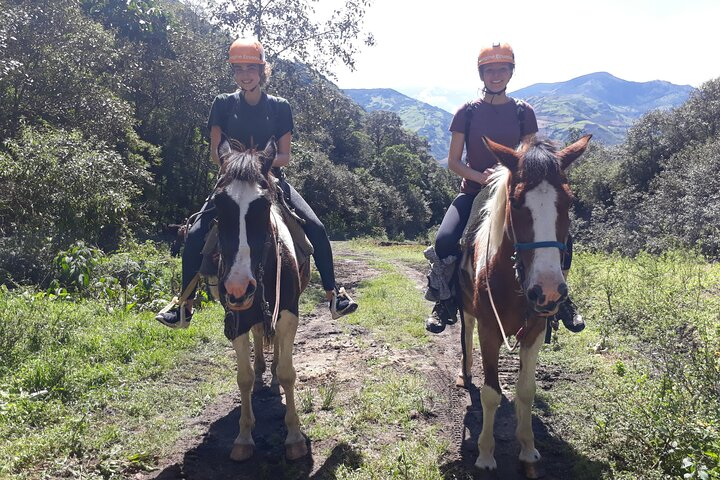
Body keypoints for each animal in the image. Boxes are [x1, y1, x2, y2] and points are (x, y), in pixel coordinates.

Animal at [210, 138, 308, 462]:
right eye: (218, 204)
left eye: (264, 204)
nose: (239, 286)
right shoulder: (236, 317)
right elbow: (244, 377)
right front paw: (243, 437)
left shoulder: (289, 313)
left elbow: (289, 374)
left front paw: (294, 436)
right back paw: (263, 365)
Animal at [458, 134, 588, 476]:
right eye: (516, 203)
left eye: (569, 202)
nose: (548, 290)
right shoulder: (489, 329)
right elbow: (491, 393)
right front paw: (485, 454)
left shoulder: (536, 329)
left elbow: (526, 391)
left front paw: (528, 449)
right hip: (466, 309)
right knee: (465, 334)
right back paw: (465, 372)